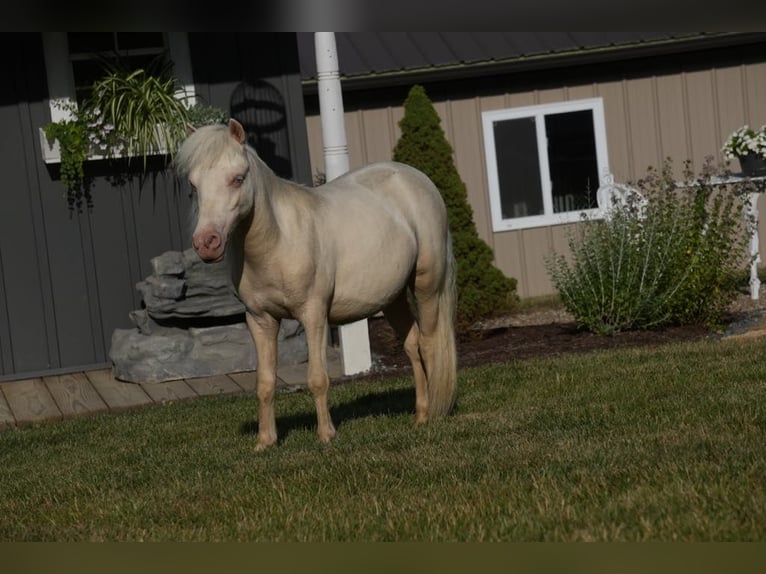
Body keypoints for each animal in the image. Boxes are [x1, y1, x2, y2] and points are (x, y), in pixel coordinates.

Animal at [176, 119, 456, 450]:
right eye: (194, 186)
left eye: (238, 178)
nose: (207, 243)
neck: (279, 241)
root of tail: (416, 178)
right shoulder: (260, 320)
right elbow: (265, 382)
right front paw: (265, 442)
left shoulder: (314, 315)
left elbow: (317, 378)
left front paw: (325, 436)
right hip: (394, 297)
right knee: (412, 346)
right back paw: (421, 416)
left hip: (427, 286)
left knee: (429, 343)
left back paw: (435, 413)